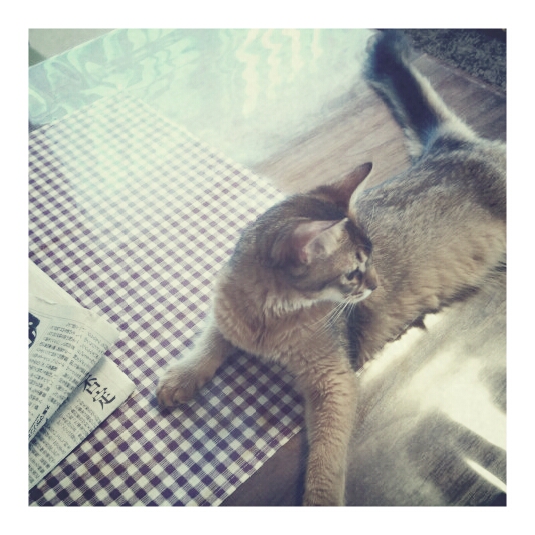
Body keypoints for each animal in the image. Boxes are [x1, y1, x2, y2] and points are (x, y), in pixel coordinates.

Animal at [156, 30, 506, 506]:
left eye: (371, 259)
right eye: (355, 272)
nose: (376, 283)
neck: (266, 319)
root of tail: (453, 146)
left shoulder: (335, 381)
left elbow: (326, 459)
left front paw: (320, 502)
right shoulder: (224, 317)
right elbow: (207, 346)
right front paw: (182, 377)